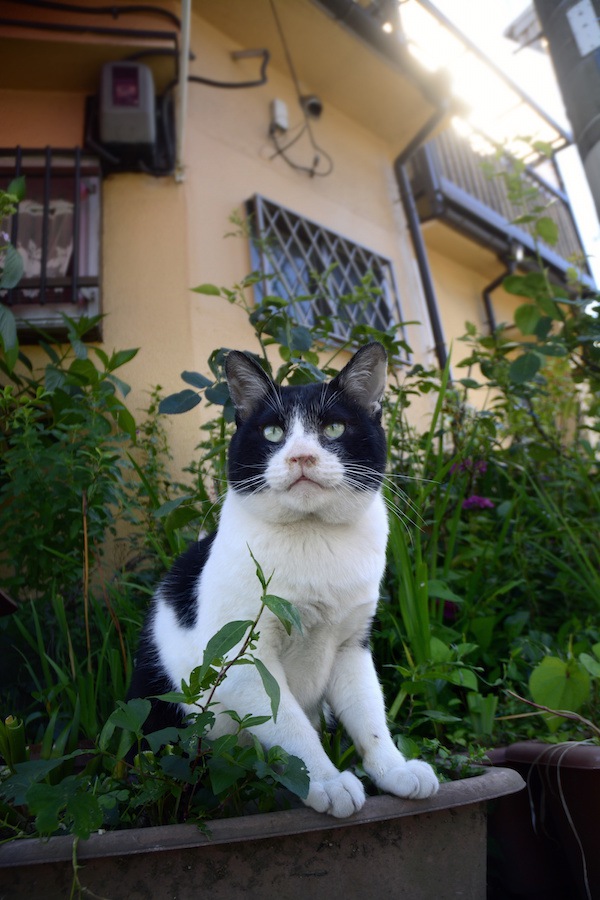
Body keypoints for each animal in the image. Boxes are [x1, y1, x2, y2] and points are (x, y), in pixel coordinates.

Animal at [130, 342, 440, 816]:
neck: (314, 537)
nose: (301, 456)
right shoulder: (242, 660)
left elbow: (369, 712)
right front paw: (325, 782)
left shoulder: (352, 644)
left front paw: (394, 769)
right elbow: (291, 725)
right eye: (274, 433)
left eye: (334, 427)